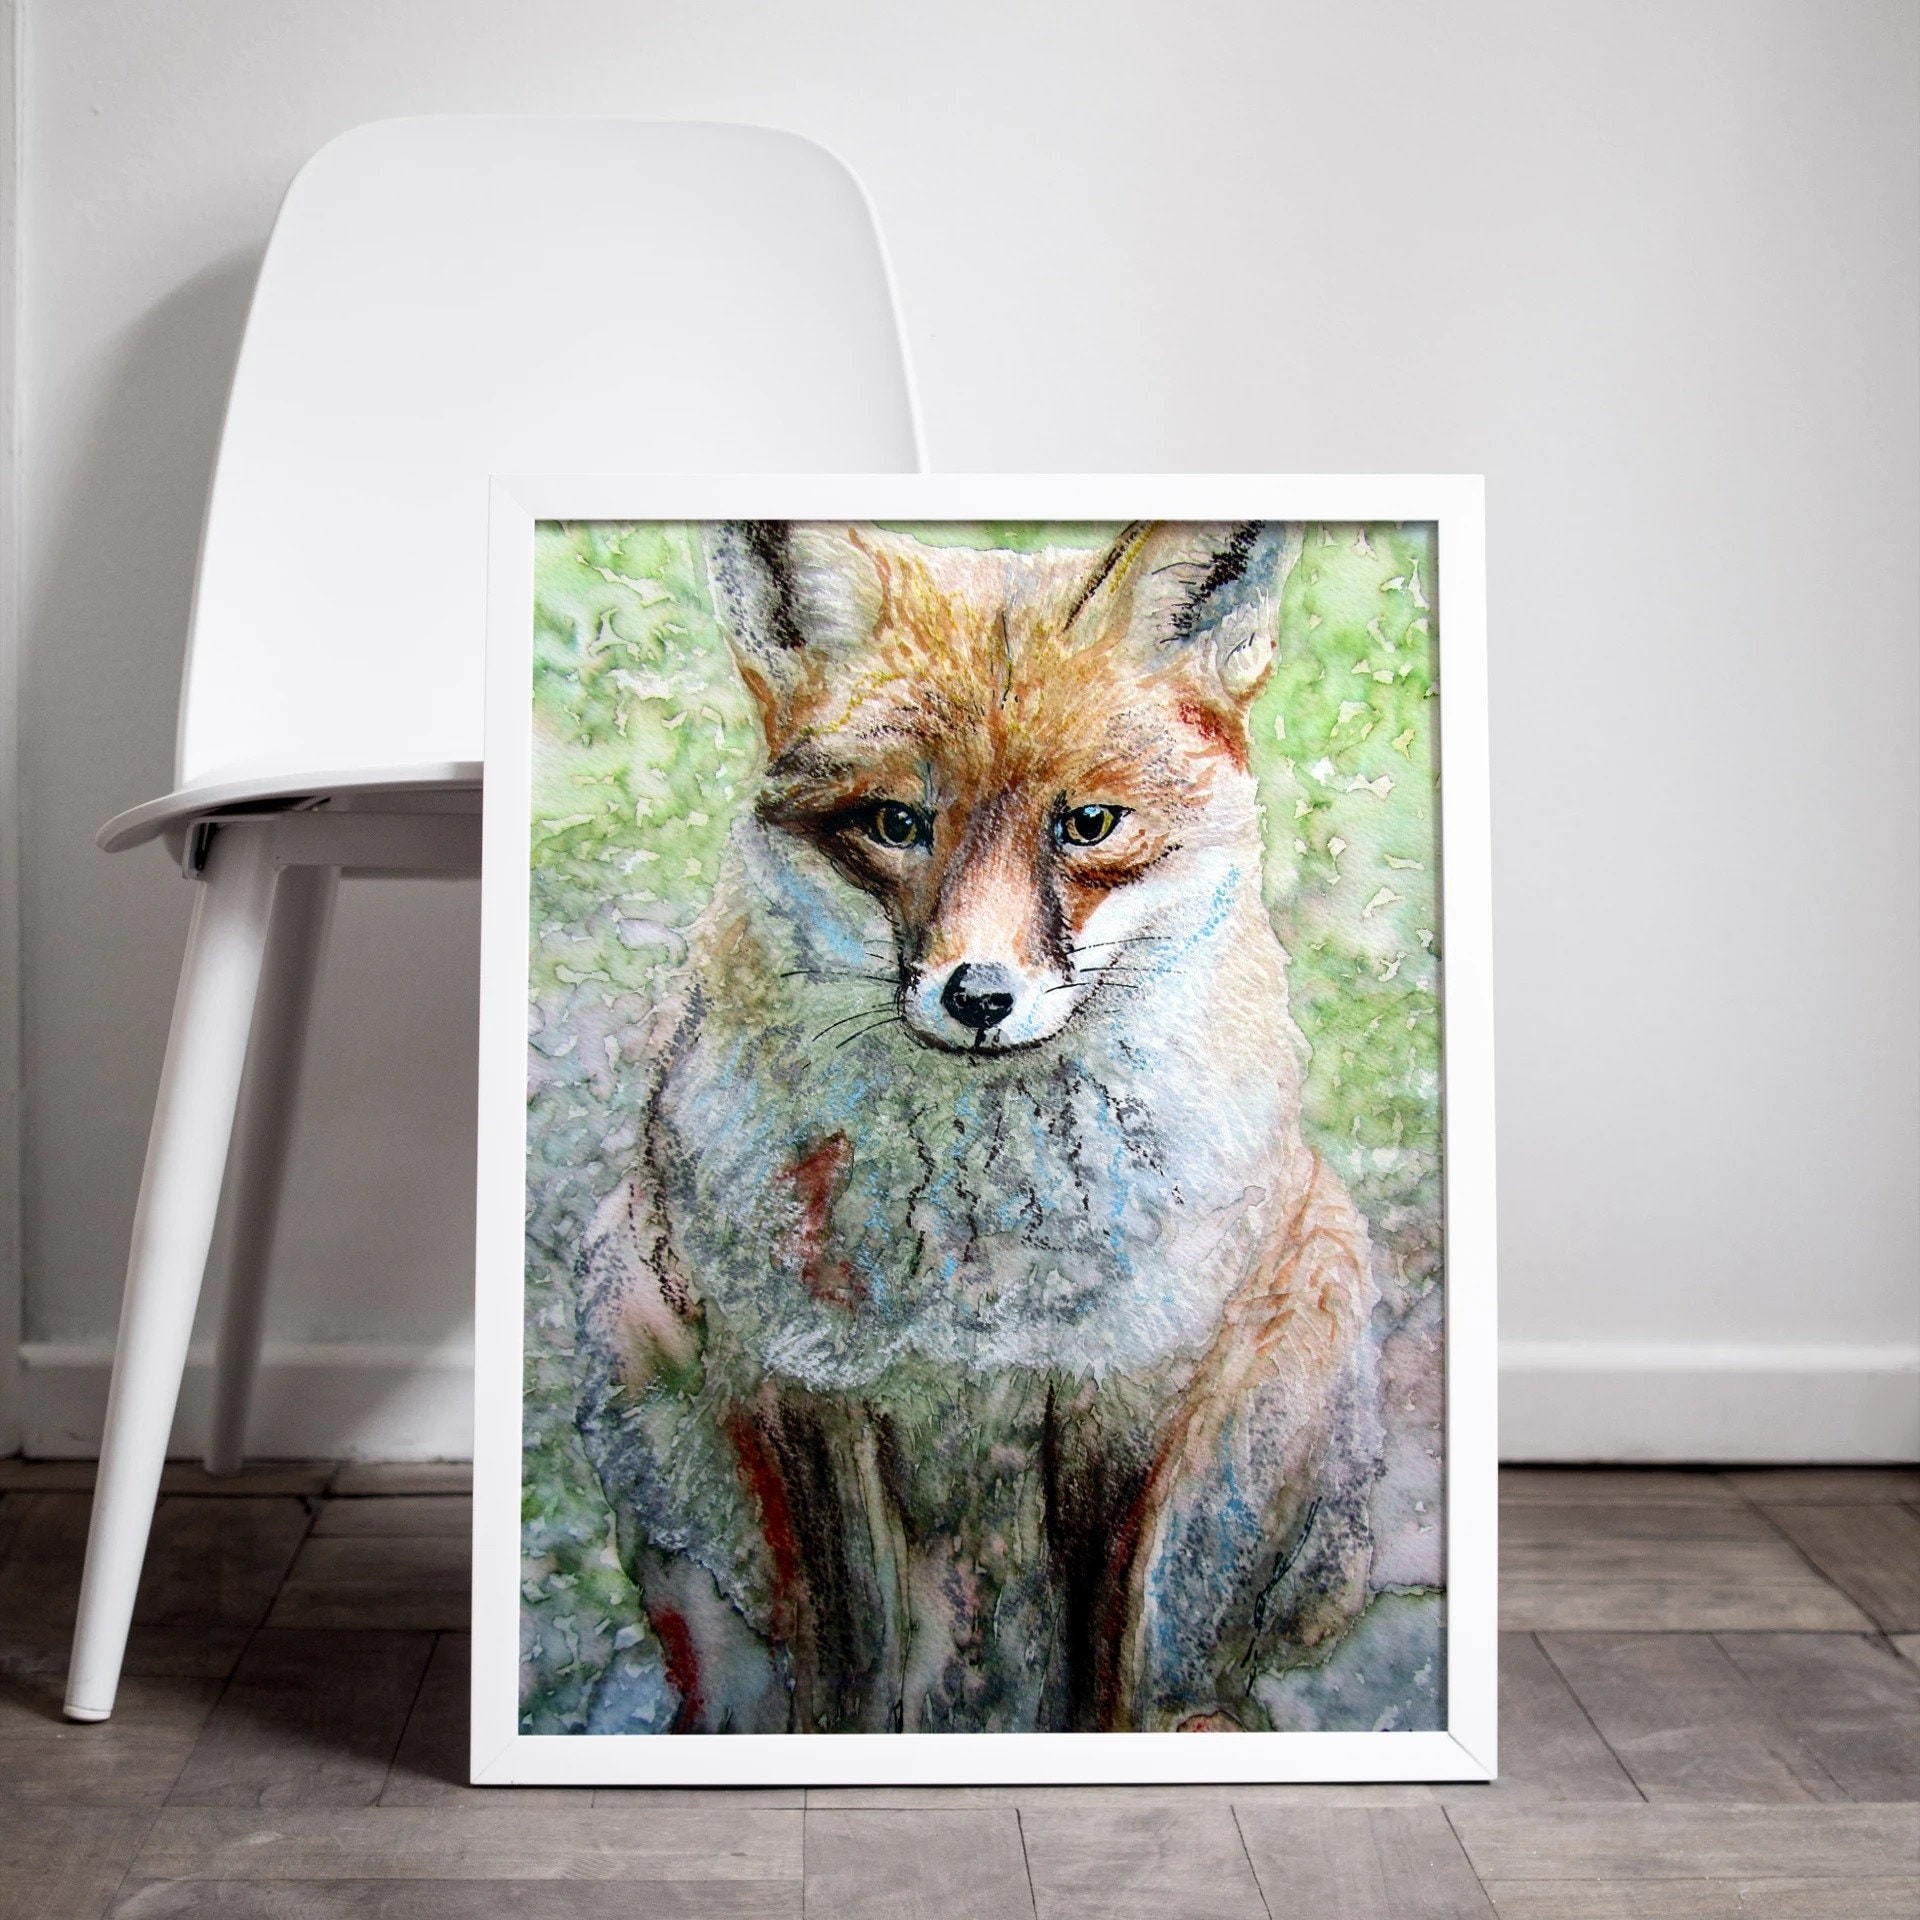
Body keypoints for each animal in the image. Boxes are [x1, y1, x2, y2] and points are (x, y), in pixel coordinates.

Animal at [571, 519, 1382, 1736]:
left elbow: (1106, 1653)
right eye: (896, 824)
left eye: (1088, 824)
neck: (976, 1277)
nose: (980, 997)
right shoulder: (803, 1386)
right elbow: (848, 1663)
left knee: (1211, 1657)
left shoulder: (1127, 1394)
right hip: (628, 1331)